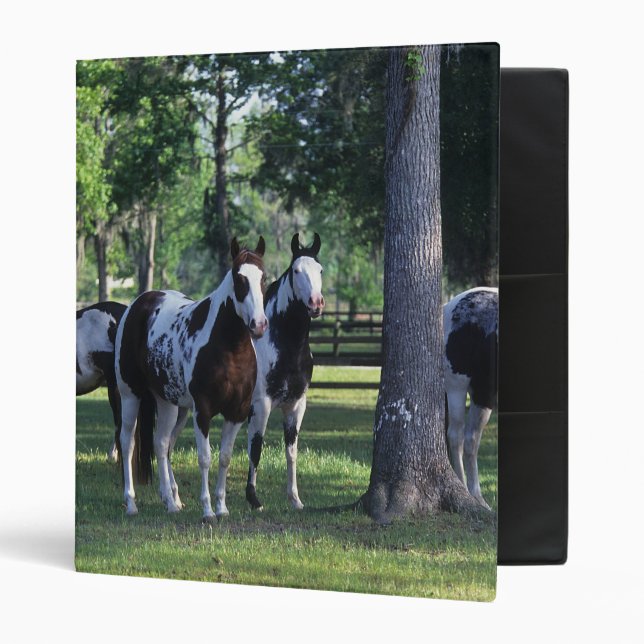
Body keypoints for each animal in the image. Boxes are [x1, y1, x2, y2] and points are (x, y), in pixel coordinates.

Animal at [115, 237, 268, 522]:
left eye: (264, 277)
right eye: (238, 278)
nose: (259, 324)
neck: (229, 348)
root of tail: (138, 305)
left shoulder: (236, 413)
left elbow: (225, 457)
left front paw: (222, 507)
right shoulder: (203, 411)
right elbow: (205, 458)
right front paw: (207, 510)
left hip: (170, 404)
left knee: (162, 444)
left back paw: (171, 502)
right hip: (131, 396)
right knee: (127, 443)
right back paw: (131, 503)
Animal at [245, 233, 324, 511]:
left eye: (320, 270)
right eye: (296, 271)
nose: (316, 304)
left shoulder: (296, 406)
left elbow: (291, 451)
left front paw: (295, 499)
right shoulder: (261, 405)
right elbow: (256, 448)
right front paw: (253, 499)